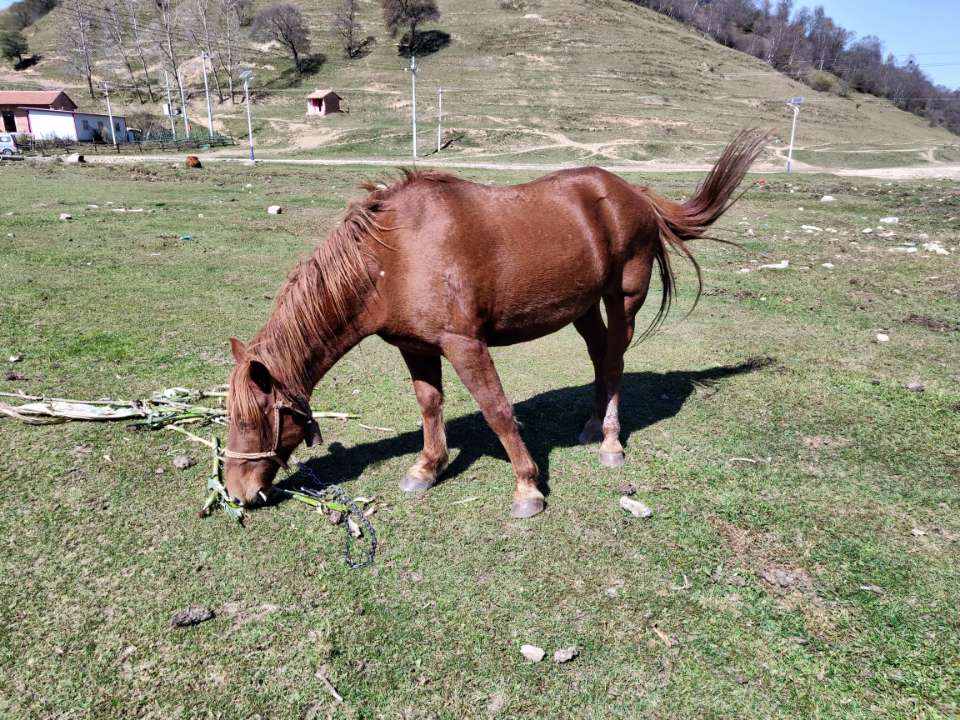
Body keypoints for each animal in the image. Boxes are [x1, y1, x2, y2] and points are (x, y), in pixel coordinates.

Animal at [223, 126, 764, 516]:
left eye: (251, 421)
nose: (236, 492)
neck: (392, 257)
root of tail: (632, 191)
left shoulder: (465, 345)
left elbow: (497, 410)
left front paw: (528, 488)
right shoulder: (416, 347)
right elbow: (430, 406)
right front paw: (427, 468)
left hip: (623, 298)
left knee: (614, 361)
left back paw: (610, 440)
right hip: (584, 306)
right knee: (599, 355)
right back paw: (591, 426)